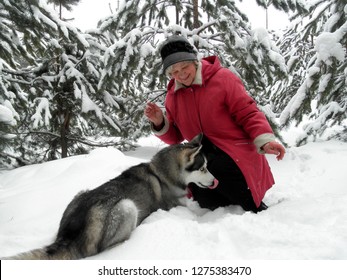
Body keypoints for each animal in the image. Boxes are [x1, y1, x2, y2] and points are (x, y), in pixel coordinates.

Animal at [4, 134, 218, 260]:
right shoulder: (174, 205)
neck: (163, 173)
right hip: (127, 207)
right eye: (203, 168)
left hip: (81, 193)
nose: (215, 181)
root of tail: (69, 236)